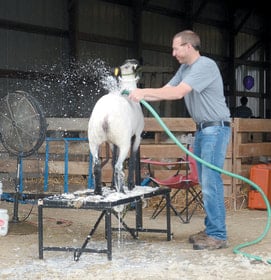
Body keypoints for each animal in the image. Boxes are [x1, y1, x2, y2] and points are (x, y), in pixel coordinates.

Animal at [88, 59, 146, 195]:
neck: (128, 89)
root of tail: (106, 116)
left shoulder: (111, 142)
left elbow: (113, 157)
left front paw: (112, 186)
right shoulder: (137, 136)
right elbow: (132, 158)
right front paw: (130, 184)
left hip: (93, 141)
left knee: (97, 165)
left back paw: (98, 191)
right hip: (124, 141)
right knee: (118, 166)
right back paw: (122, 191)